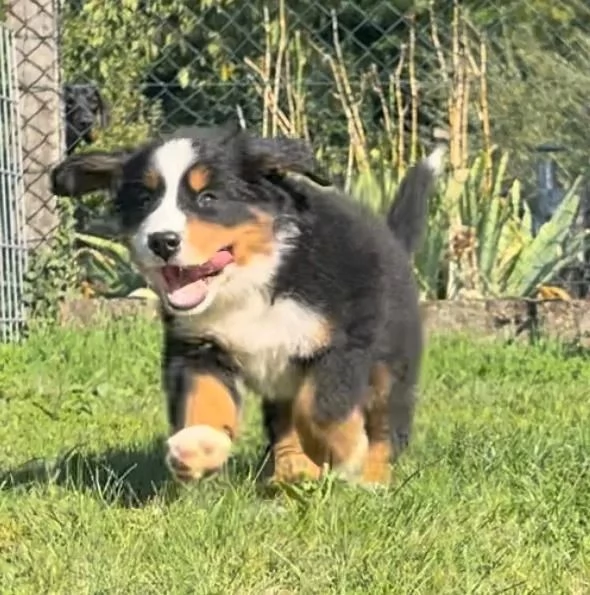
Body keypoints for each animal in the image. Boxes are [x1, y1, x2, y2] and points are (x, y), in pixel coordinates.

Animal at [51, 121, 446, 488]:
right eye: (146, 200)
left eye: (208, 198)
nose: (162, 241)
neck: (251, 281)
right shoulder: (198, 346)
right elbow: (204, 398)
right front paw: (200, 444)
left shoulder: (342, 343)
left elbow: (321, 408)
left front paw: (346, 451)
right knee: (285, 423)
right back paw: (292, 471)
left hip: (390, 361)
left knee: (386, 424)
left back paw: (372, 478)